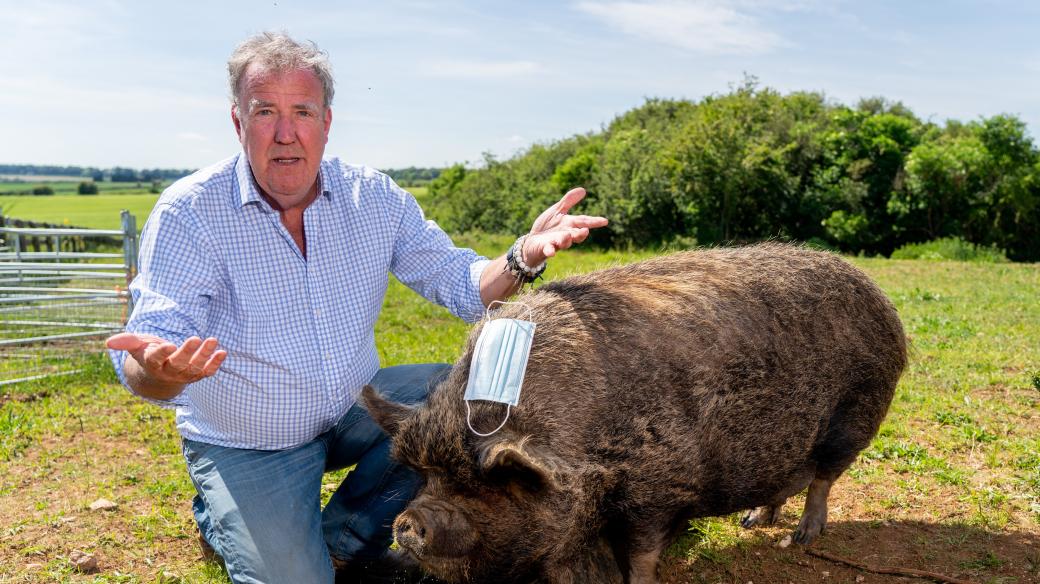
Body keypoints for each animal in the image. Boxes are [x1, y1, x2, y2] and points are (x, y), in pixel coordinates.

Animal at [361, 242, 906, 581]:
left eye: (487, 487)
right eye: (424, 477)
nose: (408, 521)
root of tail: (881, 298)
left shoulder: (658, 485)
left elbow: (641, 556)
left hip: (858, 412)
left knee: (823, 479)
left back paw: (802, 538)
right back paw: (754, 522)